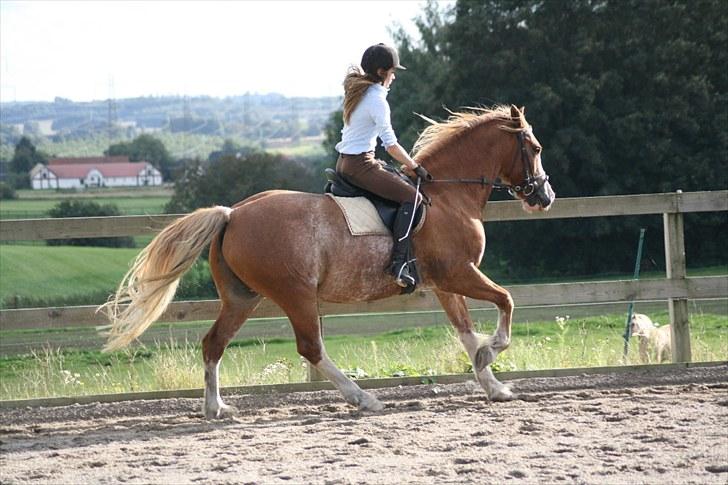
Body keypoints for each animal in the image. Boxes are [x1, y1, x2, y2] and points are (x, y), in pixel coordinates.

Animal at [101, 104, 552, 418]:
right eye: (534, 148)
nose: (544, 197)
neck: (446, 196)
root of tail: (232, 213)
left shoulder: (445, 283)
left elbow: (465, 331)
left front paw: (493, 385)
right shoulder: (460, 273)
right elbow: (506, 301)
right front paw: (492, 353)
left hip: (242, 298)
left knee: (214, 343)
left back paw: (216, 408)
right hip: (295, 293)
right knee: (310, 347)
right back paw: (363, 398)